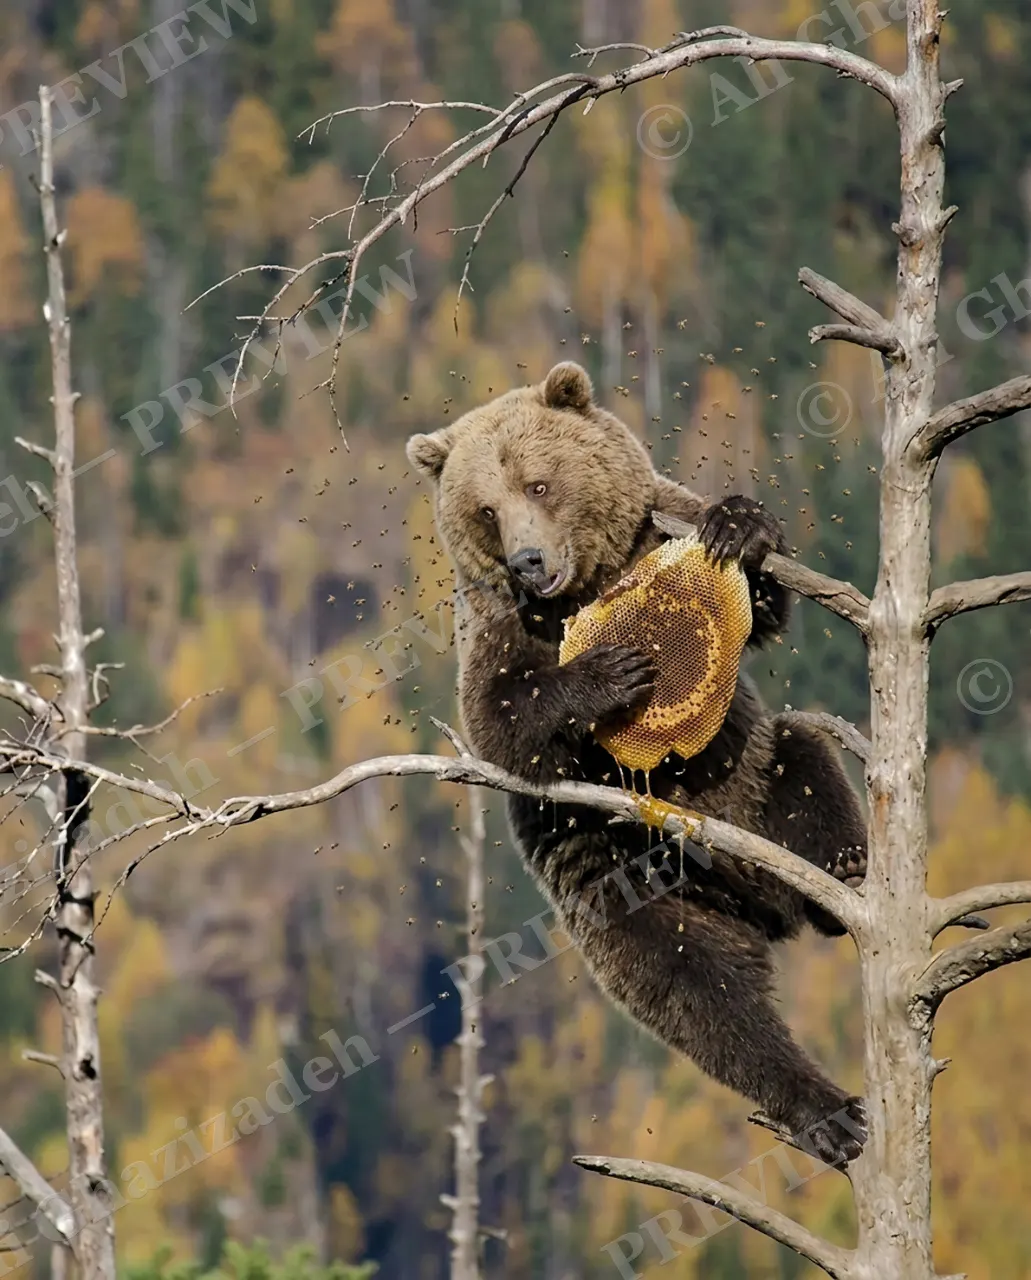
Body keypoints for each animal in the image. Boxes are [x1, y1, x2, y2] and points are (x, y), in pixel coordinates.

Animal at [407, 360, 868, 1165]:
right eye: (486, 510)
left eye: (538, 484)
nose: (528, 560)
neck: (586, 584)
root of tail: (750, 897)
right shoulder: (495, 624)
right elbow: (499, 720)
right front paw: (608, 671)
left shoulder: (657, 526)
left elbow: (761, 606)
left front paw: (741, 525)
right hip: (631, 887)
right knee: (702, 997)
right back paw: (826, 1111)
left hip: (751, 786)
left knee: (803, 757)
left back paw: (841, 873)